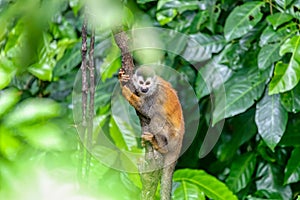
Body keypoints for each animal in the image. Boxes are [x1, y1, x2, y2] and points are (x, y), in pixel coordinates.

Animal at [118, 66, 184, 199]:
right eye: (141, 83)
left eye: (147, 83)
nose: (144, 89)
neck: (153, 88)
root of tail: (180, 140)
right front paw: (122, 79)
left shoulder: (155, 96)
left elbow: (146, 110)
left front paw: (126, 92)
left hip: (171, 135)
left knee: (157, 116)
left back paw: (160, 146)